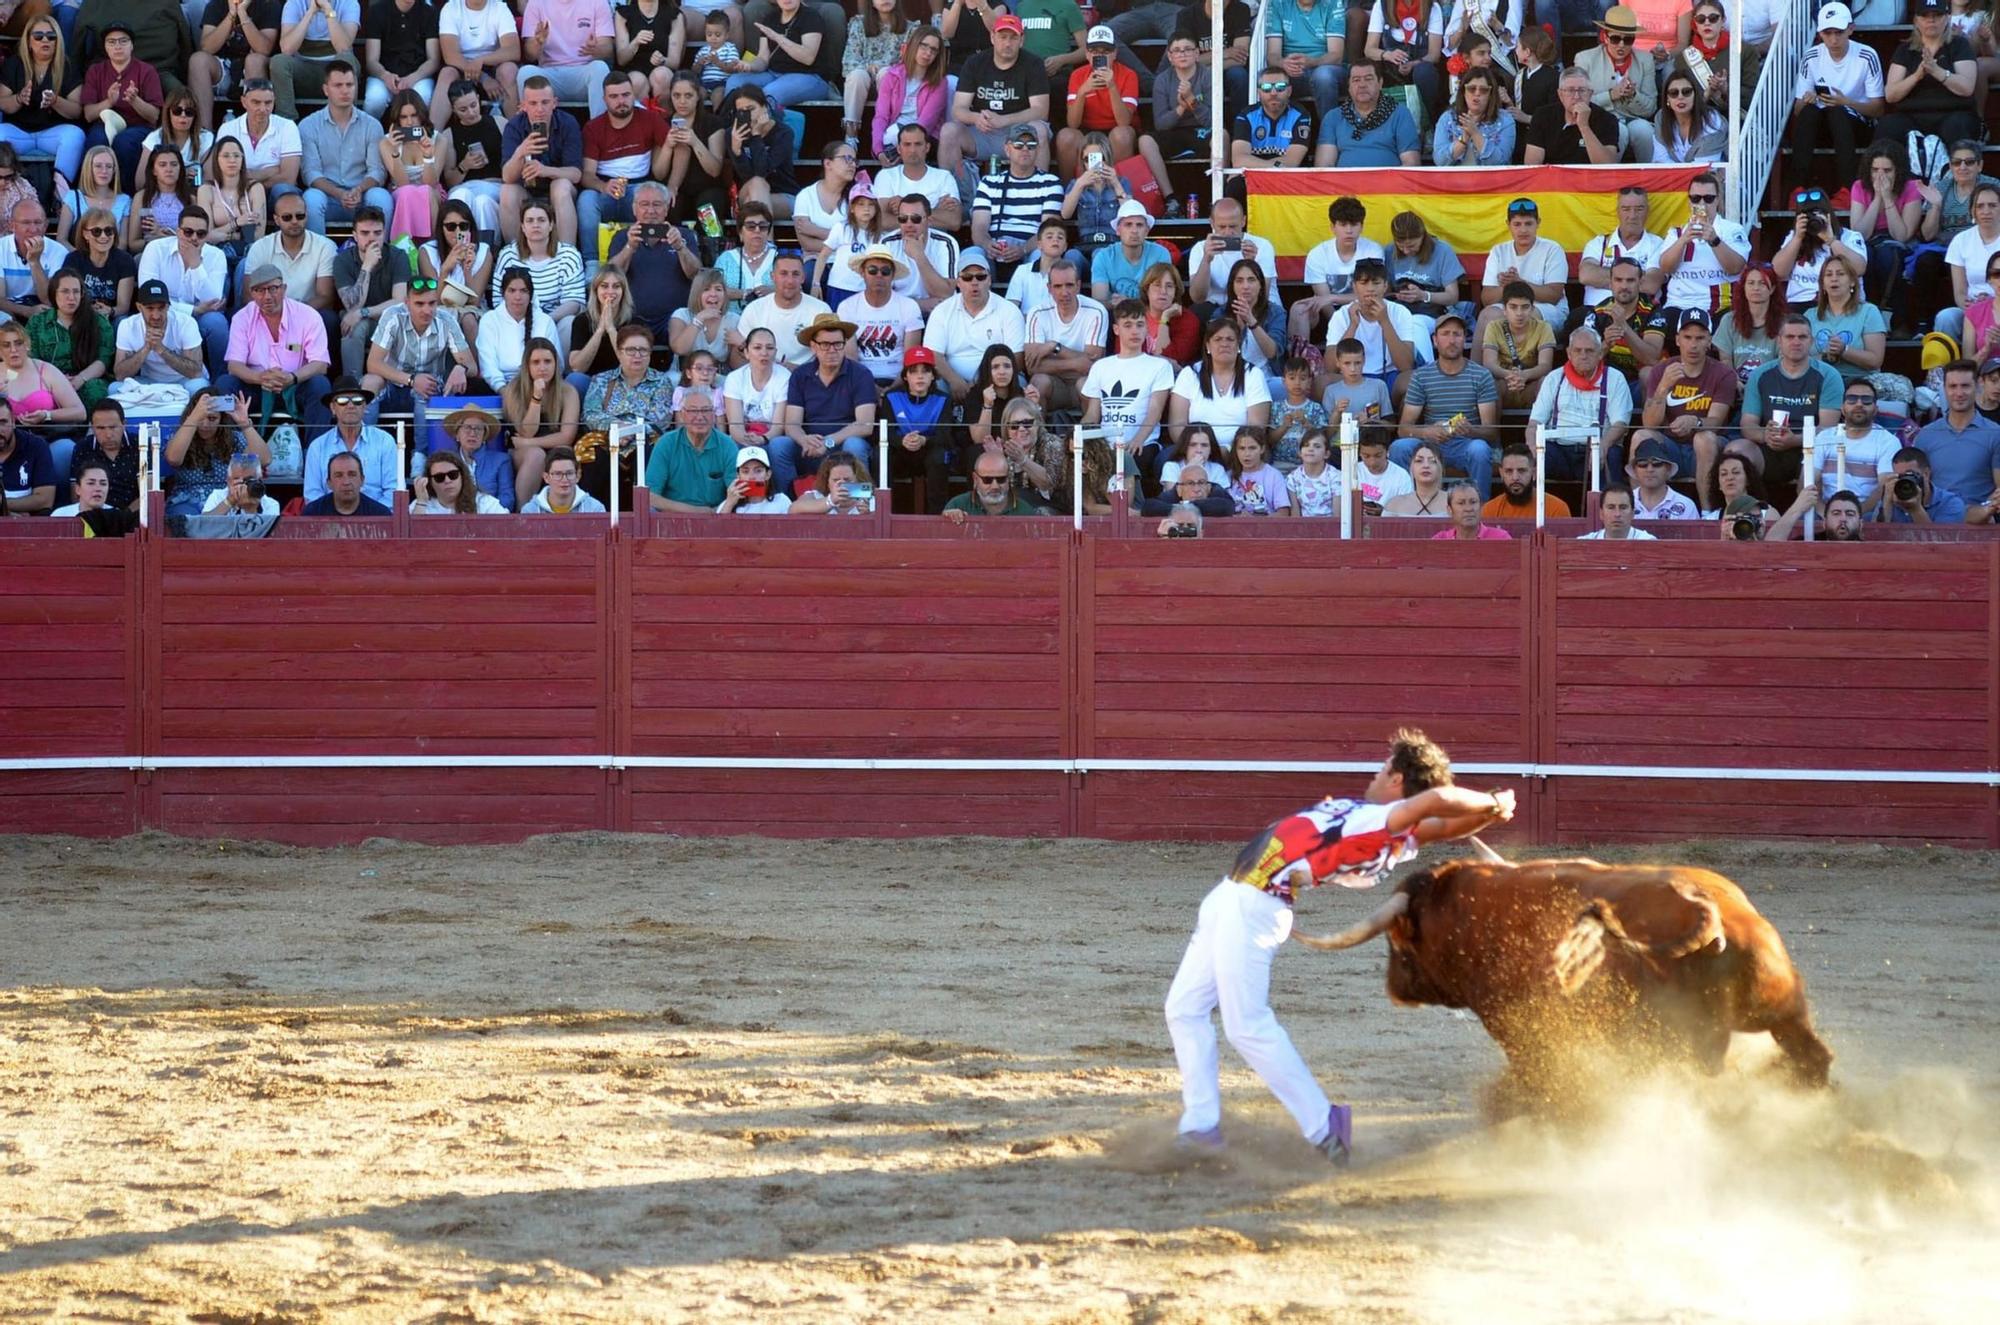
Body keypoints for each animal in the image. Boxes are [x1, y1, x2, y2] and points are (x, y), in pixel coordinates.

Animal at [1296, 856, 1832, 1096]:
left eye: (1397, 943)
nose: (1393, 987)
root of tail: (1710, 911)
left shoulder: (1518, 1027)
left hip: (1689, 1042)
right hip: (1786, 1013)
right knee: (1813, 1058)